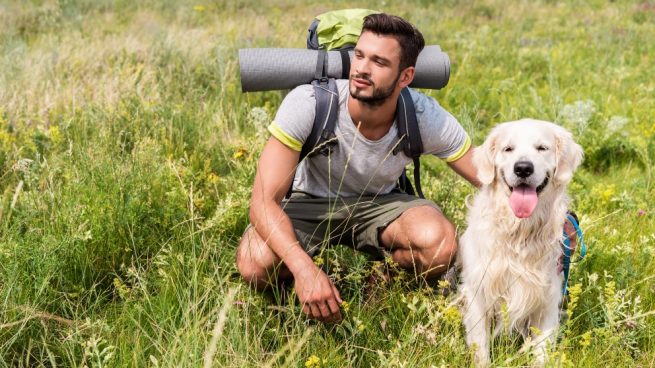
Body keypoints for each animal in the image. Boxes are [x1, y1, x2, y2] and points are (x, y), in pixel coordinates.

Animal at [458, 118, 580, 366]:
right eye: (508, 149)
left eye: (542, 148)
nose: (523, 168)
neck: (520, 232)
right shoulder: (478, 293)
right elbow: (481, 346)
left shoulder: (548, 299)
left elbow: (542, 352)